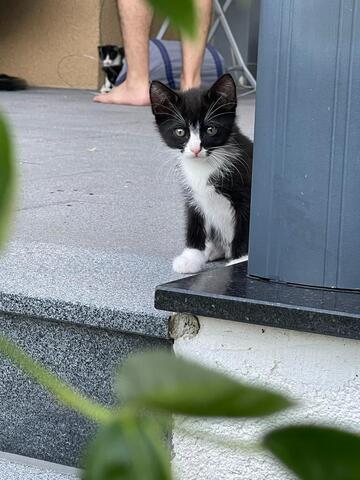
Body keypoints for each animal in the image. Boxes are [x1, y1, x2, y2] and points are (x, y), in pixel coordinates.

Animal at [149, 72, 253, 274]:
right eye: (180, 132)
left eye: (211, 129)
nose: (196, 149)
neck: (204, 166)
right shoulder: (192, 193)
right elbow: (194, 221)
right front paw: (191, 257)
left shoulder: (246, 193)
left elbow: (244, 227)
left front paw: (240, 260)